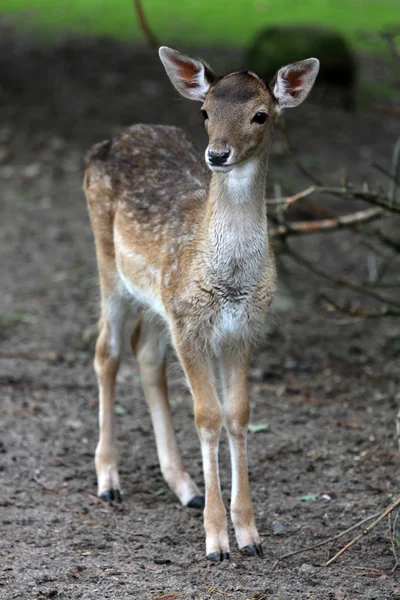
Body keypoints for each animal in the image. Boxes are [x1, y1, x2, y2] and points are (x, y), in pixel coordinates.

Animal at [83, 47, 318, 564]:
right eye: (205, 112)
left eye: (261, 114)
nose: (217, 154)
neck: (228, 281)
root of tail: (107, 142)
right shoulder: (190, 324)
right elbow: (207, 416)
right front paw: (216, 542)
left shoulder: (243, 328)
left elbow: (238, 414)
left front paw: (249, 535)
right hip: (111, 268)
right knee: (107, 351)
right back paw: (108, 480)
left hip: (158, 300)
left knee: (146, 354)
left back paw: (184, 487)